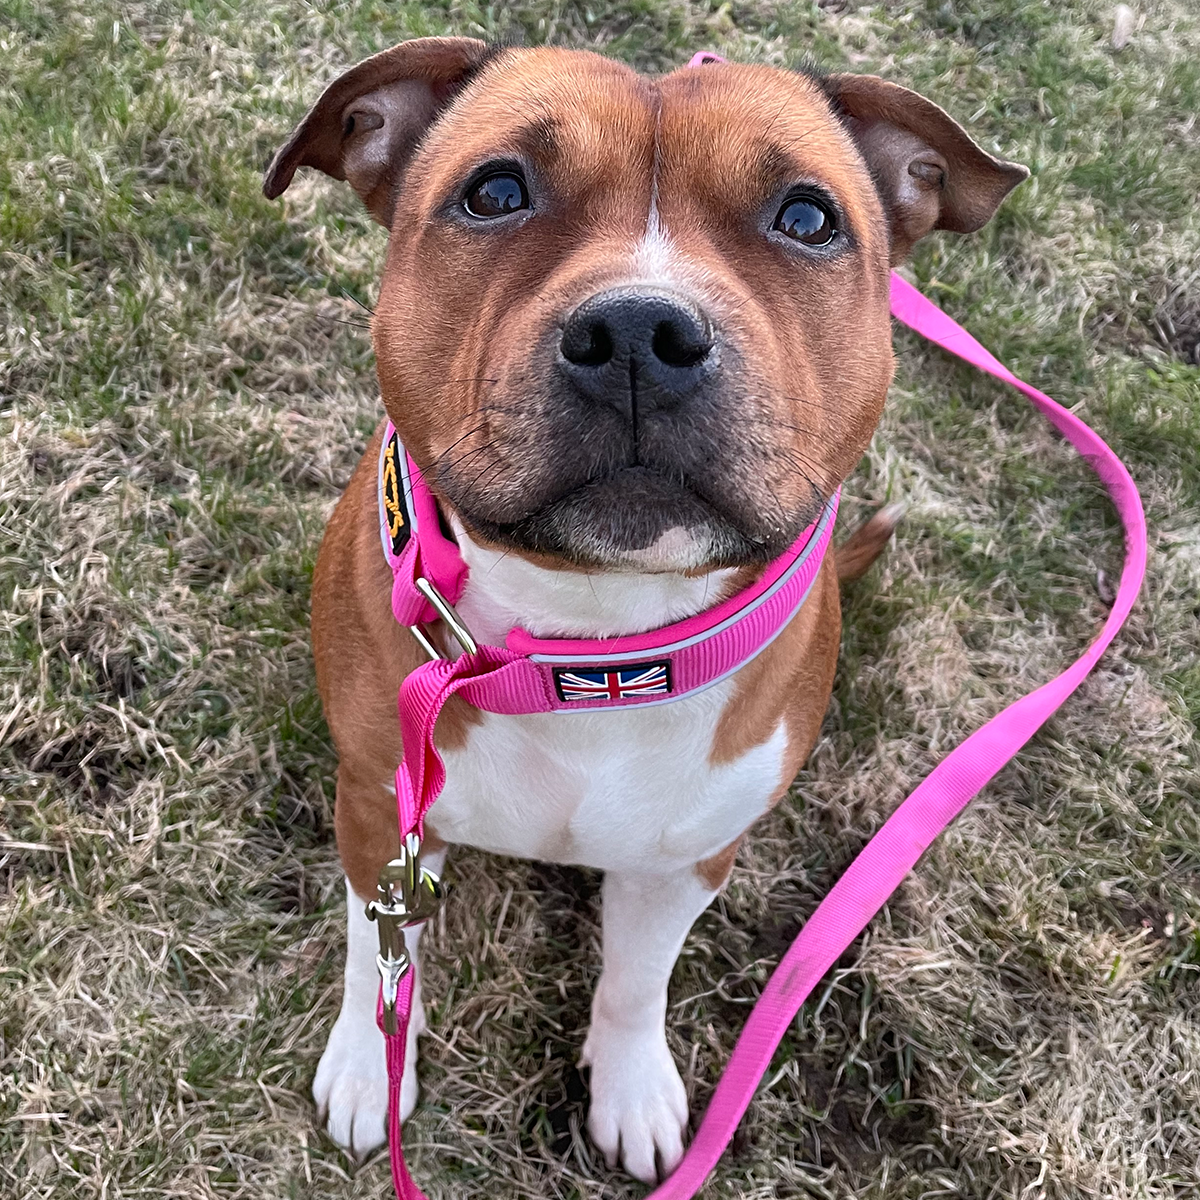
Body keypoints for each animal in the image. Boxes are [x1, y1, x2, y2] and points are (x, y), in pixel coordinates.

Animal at [262, 37, 1022, 1180]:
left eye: (807, 216)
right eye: (495, 191)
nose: (637, 331)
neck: (588, 643)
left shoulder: (688, 858)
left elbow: (635, 979)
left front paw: (630, 1086)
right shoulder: (377, 809)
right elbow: (375, 947)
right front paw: (368, 1063)